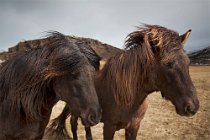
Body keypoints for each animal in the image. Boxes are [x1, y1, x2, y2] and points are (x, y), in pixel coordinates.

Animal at [48, 24, 199, 139]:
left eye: (188, 62)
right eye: (168, 64)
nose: (192, 107)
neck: (129, 98)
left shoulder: (134, 127)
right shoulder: (109, 127)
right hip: (75, 110)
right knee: (73, 125)